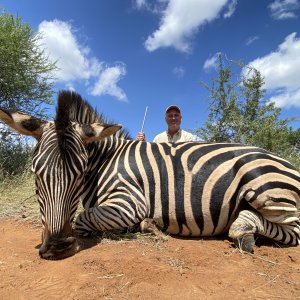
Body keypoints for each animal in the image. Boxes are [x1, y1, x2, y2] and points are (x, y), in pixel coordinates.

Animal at [0, 90, 298, 258]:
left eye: (80, 173)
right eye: (35, 173)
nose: (57, 247)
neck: (106, 161)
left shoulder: (129, 201)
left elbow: (84, 219)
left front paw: (143, 226)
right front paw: (148, 225)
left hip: (266, 188)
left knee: (292, 231)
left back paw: (244, 231)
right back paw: (243, 227)